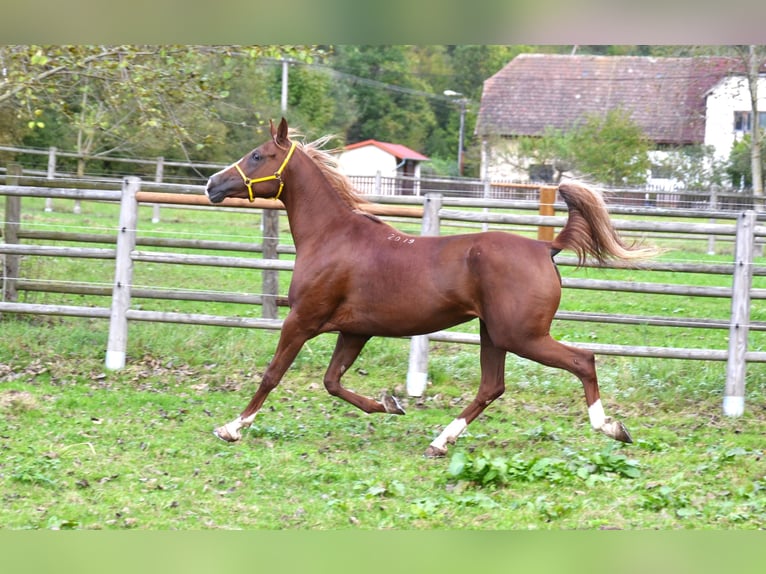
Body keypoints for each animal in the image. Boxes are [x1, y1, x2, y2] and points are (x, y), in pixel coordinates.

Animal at [206, 118, 660, 460]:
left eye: (258, 155)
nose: (211, 184)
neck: (332, 237)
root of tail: (544, 247)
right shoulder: (354, 330)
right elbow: (332, 381)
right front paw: (390, 405)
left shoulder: (302, 320)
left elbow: (273, 374)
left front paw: (231, 427)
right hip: (494, 334)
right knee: (492, 387)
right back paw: (440, 441)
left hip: (521, 335)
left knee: (583, 360)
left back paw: (611, 427)